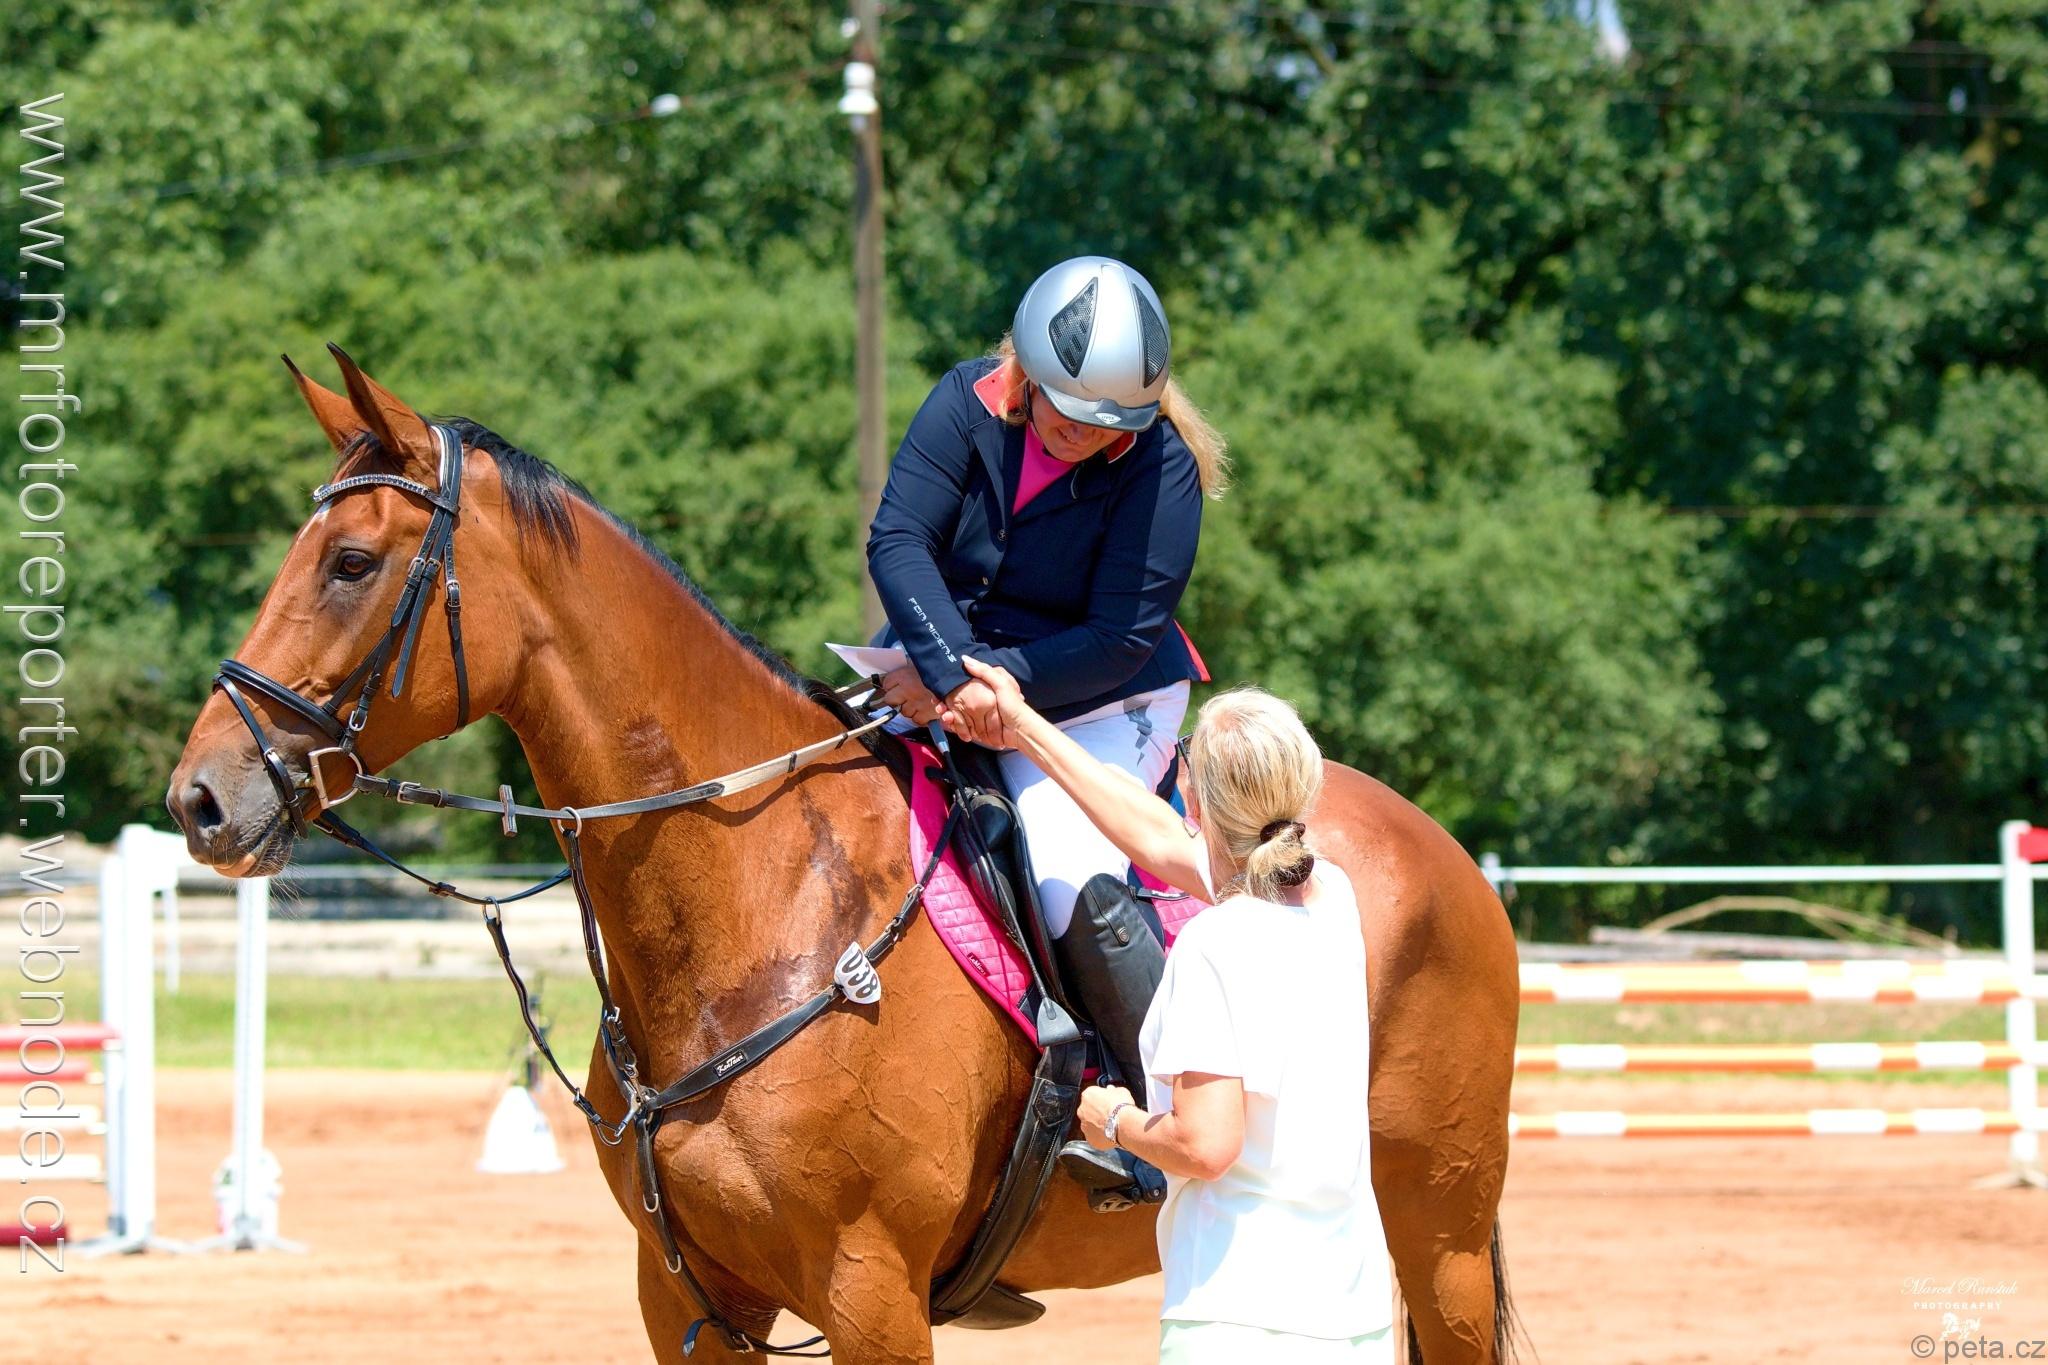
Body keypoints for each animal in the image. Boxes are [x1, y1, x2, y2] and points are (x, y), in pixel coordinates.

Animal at [164, 348, 1523, 1363]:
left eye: (351, 564)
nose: (203, 800)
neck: (759, 902)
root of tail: (1444, 857)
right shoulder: (689, 1305)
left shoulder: (868, 1291)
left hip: (1439, 1235)